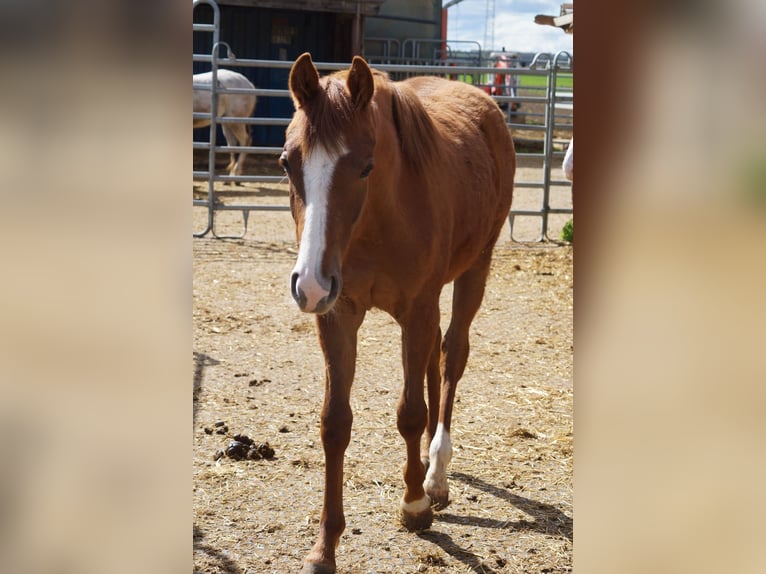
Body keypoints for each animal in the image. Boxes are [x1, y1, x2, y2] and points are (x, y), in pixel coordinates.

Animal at [282, 54, 516, 574]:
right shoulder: (338, 315)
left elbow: (409, 412)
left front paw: (414, 505)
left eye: (366, 166)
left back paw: (436, 473)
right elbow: (335, 423)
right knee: (432, 360)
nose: (308, 283)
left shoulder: (417, 308)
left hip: (475, 268)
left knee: (451, 357)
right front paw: (324, 547)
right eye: (287, 162)